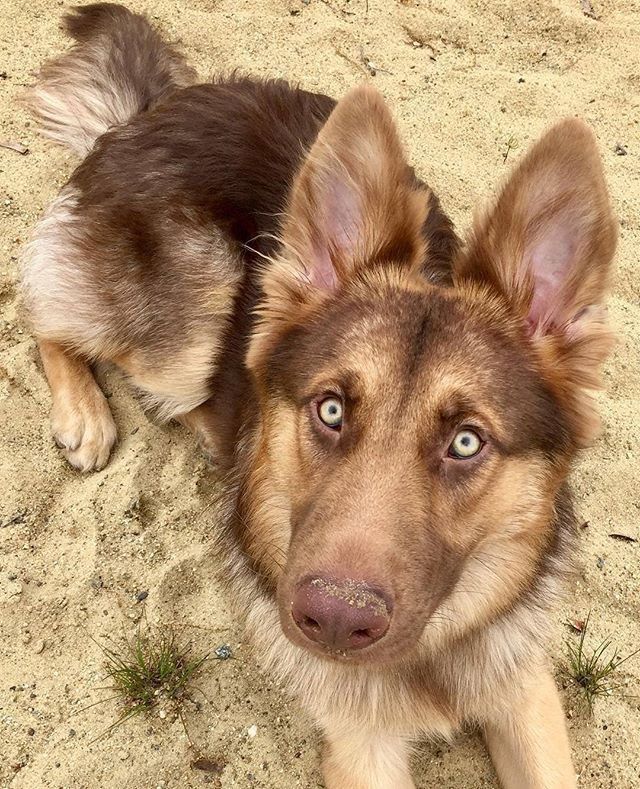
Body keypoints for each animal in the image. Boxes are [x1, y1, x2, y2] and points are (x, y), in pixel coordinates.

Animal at [22, 4, 616, 780]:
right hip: (189, 320)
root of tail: (153, 110)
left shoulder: (526, 693)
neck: (429, 654)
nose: (332, 620)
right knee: (37, 303)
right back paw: (86, 415)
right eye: (330, 409)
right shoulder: (361, 746)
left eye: (466, 442)